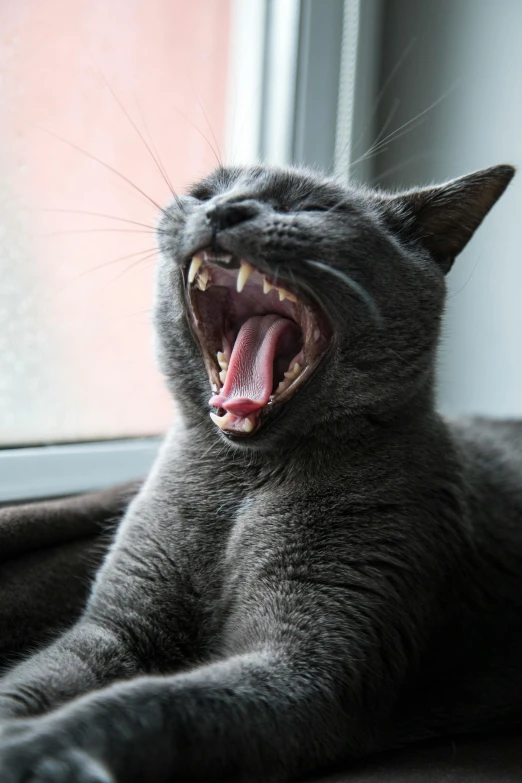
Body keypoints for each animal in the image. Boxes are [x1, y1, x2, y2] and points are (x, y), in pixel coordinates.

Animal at [0, 162, 516, 780]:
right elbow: (36, 679)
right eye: (203, 193)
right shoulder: (115, 628)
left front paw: (33, 749)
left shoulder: (306, 669)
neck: (244, 488)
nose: (226, 209)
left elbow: (153, 705)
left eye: (315, 210)